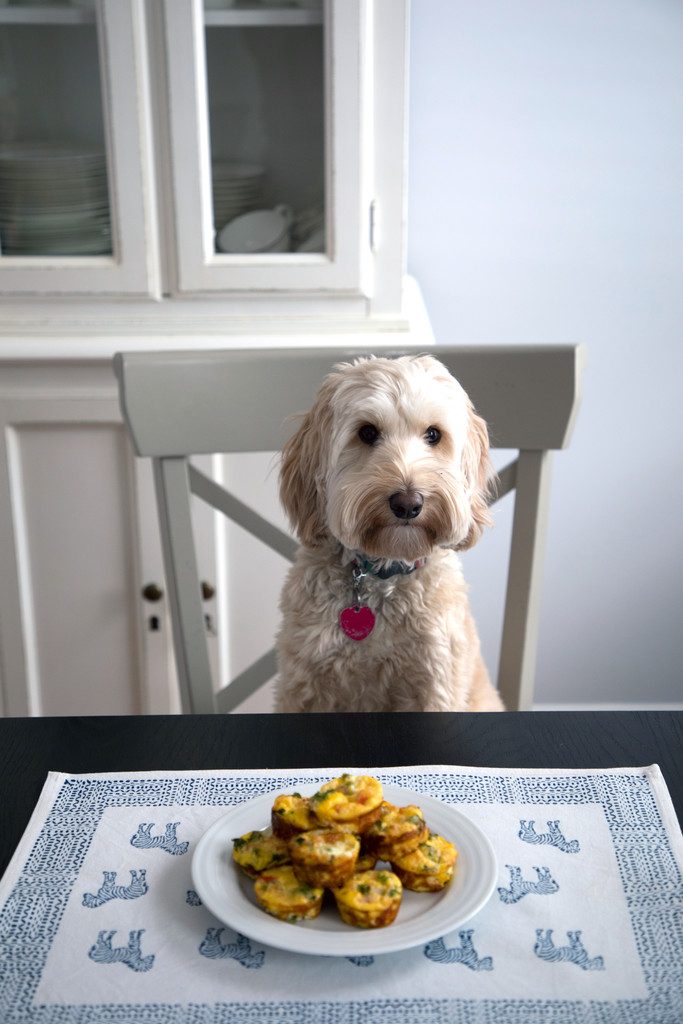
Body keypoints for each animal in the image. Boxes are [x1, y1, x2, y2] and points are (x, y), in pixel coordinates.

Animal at [274, 356, 505, 716]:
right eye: (367, 432)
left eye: (433, 434)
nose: (408, 504)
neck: (382, 573)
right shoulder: (304, 681)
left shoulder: (437, 679)